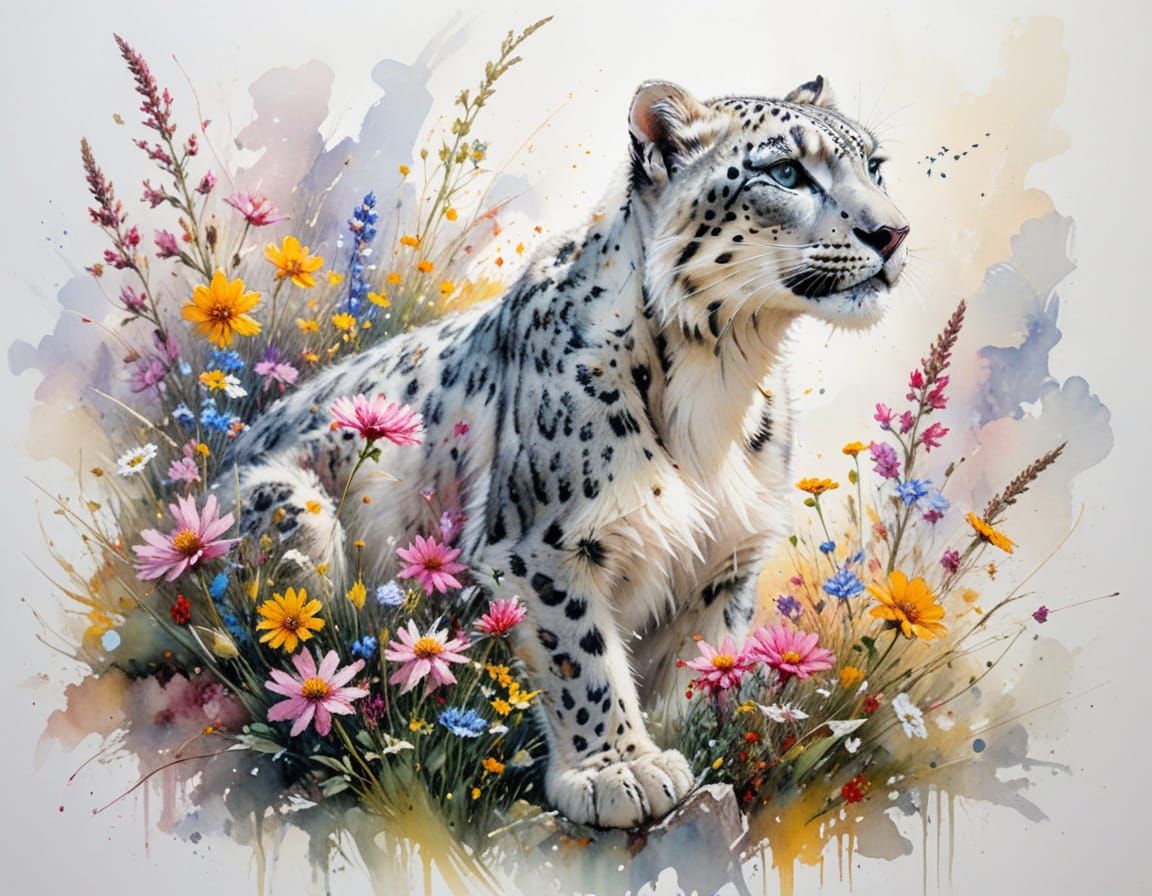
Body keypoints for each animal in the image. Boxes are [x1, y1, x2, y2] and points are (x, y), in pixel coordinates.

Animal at [231, 76, 909, 829]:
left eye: (875, 166)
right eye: (786, 172)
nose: (893, 232)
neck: (723, 375)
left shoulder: (727, 558)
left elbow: (705, 661)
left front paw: (687, 737)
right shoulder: (540, 547)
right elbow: (583, 659)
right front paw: (621, 771)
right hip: (292, 510)